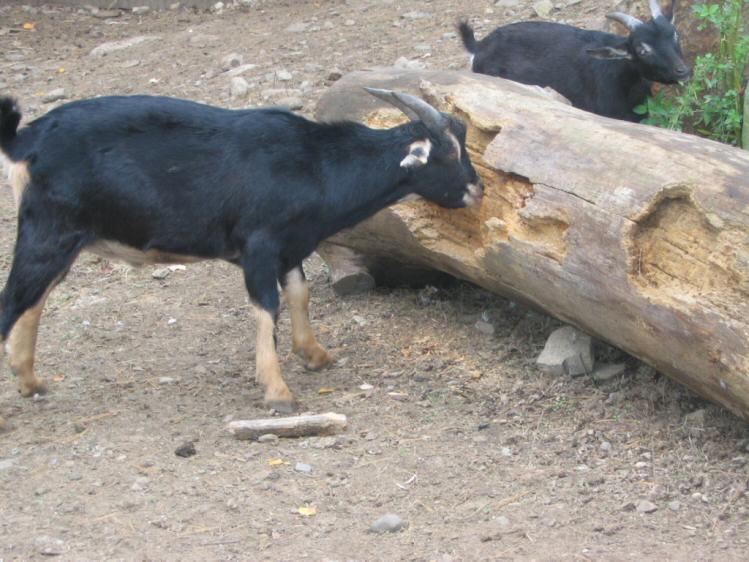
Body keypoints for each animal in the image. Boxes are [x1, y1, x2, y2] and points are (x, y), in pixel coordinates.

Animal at [0, 90, 482, 414]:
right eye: (450, 152)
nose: (477, 190)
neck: (316, 164)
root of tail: (25, 139)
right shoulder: (258, 245)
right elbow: (266, 307)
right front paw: (278, 391)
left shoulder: (291, 247)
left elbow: (299, 294)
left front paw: (315, 354)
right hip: (49, 230)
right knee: (15, 300)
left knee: (34, 300)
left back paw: (31, 381)